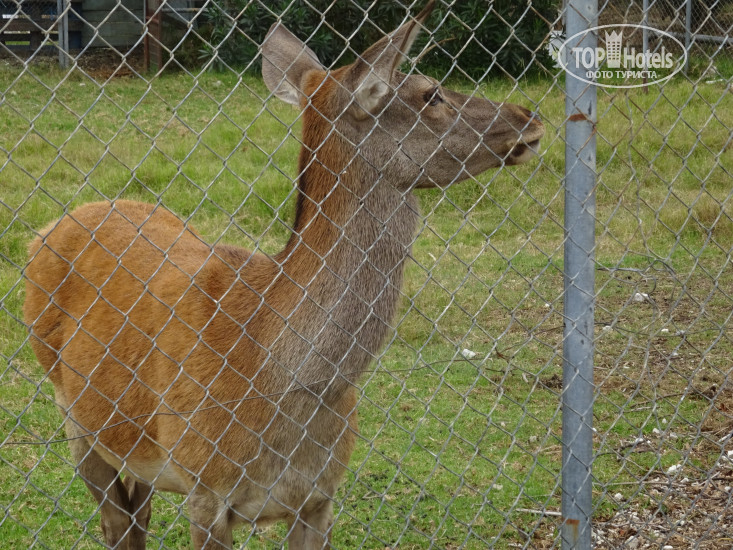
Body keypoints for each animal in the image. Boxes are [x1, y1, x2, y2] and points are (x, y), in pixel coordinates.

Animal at [23, 2, 544, 548]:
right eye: (432, 93)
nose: (529, 117)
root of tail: (48, 229)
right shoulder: (205, 489)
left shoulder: (319, 495)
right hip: (70, 408)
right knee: (115, 521)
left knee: (135, 514)